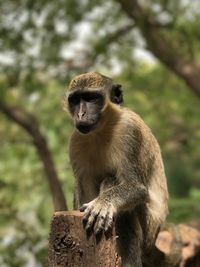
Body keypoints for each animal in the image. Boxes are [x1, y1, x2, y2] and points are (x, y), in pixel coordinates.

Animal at [65, 72, 169, 266]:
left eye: (90, 98)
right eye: (75, 100)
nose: (81, 114)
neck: (102, 129)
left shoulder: (129, 130)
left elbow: (137, 188)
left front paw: (103, 203)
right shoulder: (75, 140)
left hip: (147, 233)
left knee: (115, 186)